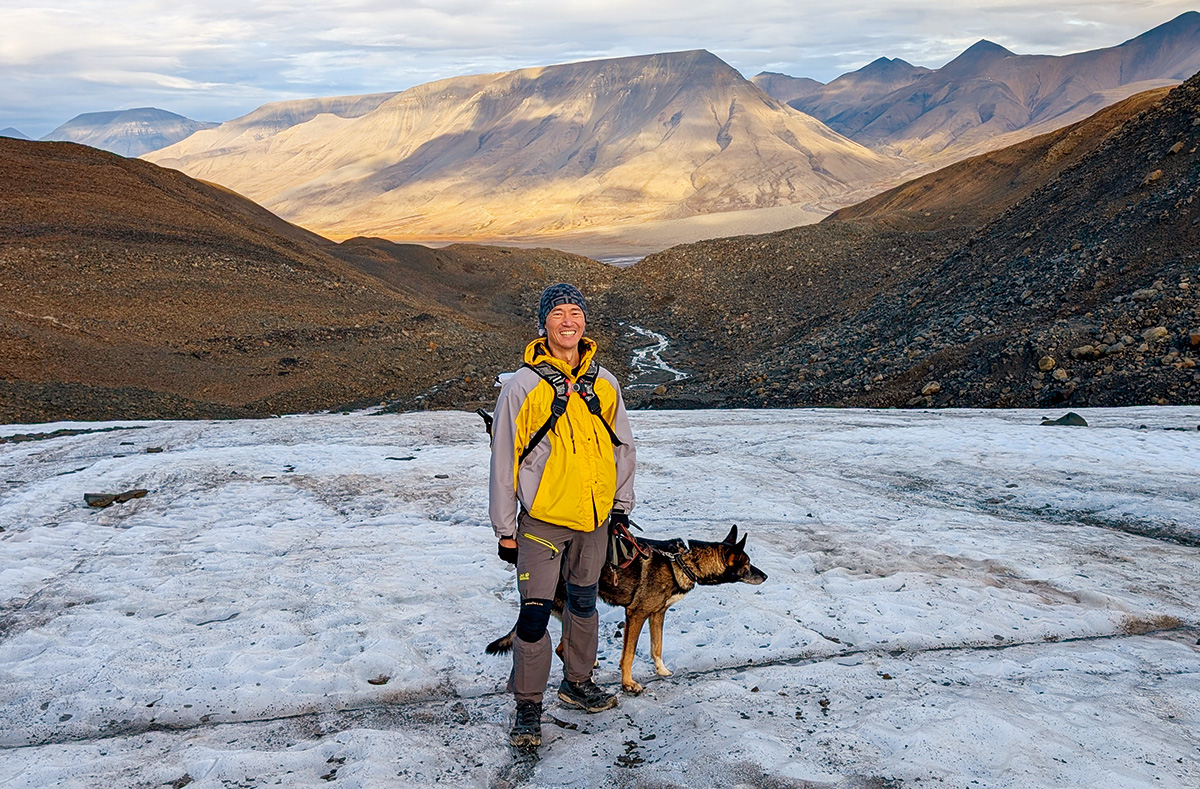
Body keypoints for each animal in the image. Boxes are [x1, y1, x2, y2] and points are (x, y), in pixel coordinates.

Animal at [482, 525, 763, 690]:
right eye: (747, 563)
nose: (766, 576)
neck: (682, 561)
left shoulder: (657, 614)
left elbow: (657, 646)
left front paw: (661, 670)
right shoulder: (636, 615)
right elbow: (628, 655)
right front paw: (628, 683)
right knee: (561, 648)